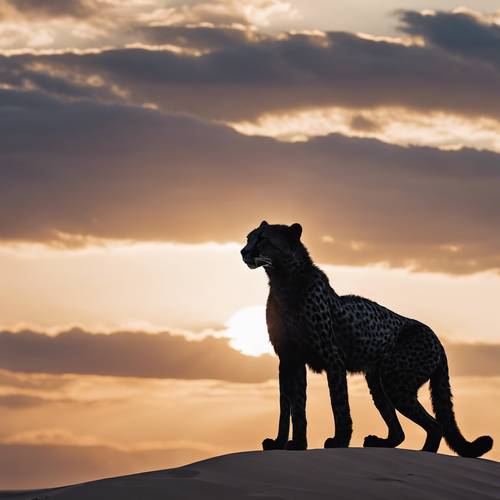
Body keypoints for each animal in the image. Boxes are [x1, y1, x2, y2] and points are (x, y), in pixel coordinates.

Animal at [240, 220, 494, 458]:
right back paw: (382, 442)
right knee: (400, 431)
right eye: (249, 237)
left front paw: (339, 440)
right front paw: (289, 444)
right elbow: (291, 407)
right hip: (378, 381)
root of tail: (436, 338)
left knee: (435, 425)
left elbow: (339, 404)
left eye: (263, 239)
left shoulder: (333, 359)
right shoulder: (289, 359)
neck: (283, 280)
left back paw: (425, 455)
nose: (243, 251)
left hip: (395, 380)